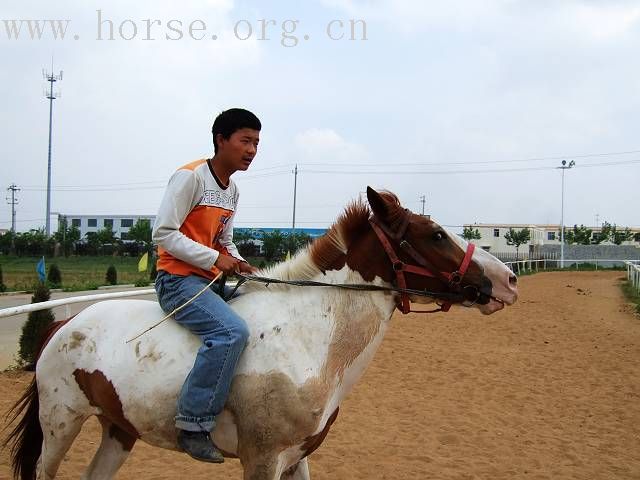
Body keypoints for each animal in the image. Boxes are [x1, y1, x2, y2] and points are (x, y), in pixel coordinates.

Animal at [3, 188, 516, 480]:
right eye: (434, 234)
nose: (508, 279)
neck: (309, 339)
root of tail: (62, 324)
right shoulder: (262, 459)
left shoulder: (297, 457)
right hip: (61, 424)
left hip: (118, 430)